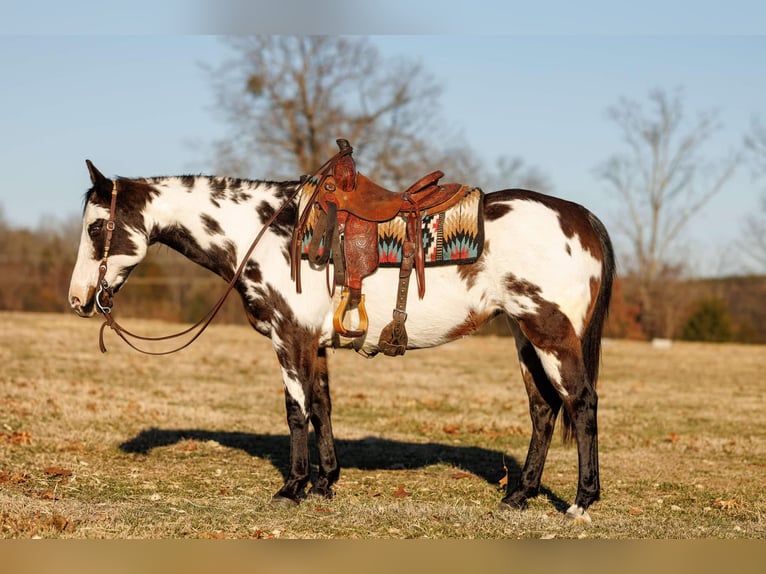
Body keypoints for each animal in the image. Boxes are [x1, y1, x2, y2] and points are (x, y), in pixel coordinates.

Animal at [68, 158, 615, 523]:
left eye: (97, 227)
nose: (78, 298)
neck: (267, 232)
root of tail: (581, 216)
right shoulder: (316, 343)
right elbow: (322, 406)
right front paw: (325, 482)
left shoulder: (290, 336)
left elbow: (296, 411)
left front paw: (293, 486)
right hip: (525, 337)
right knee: (544, 409)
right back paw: (519, 495)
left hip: (549, 331)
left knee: (581, 402)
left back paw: (581, 502)